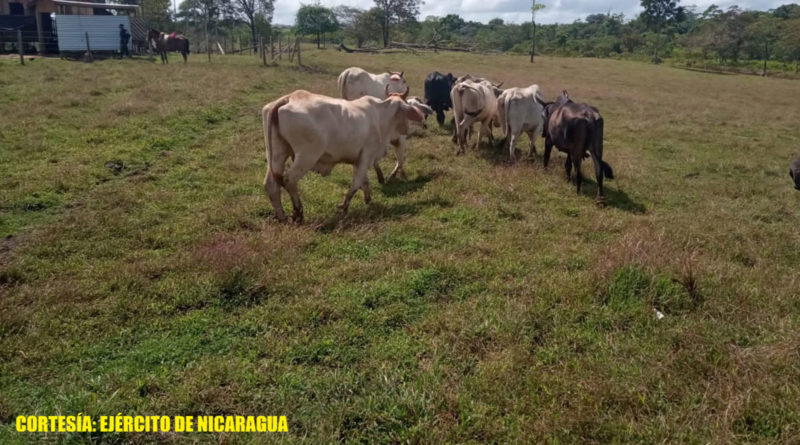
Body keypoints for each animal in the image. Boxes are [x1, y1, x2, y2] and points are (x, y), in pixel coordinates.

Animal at [262, 89, 424, 222]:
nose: (409, 129)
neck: (381, 115)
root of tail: (289, 98)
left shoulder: (359, 159)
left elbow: (364, 181)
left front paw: (368, 199)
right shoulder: (367, 154)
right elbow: (357, 182)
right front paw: (345, 206)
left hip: (277, 154)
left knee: (271, 185)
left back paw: (282, 217)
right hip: (307, 156)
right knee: (289, 180)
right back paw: (298, 213)